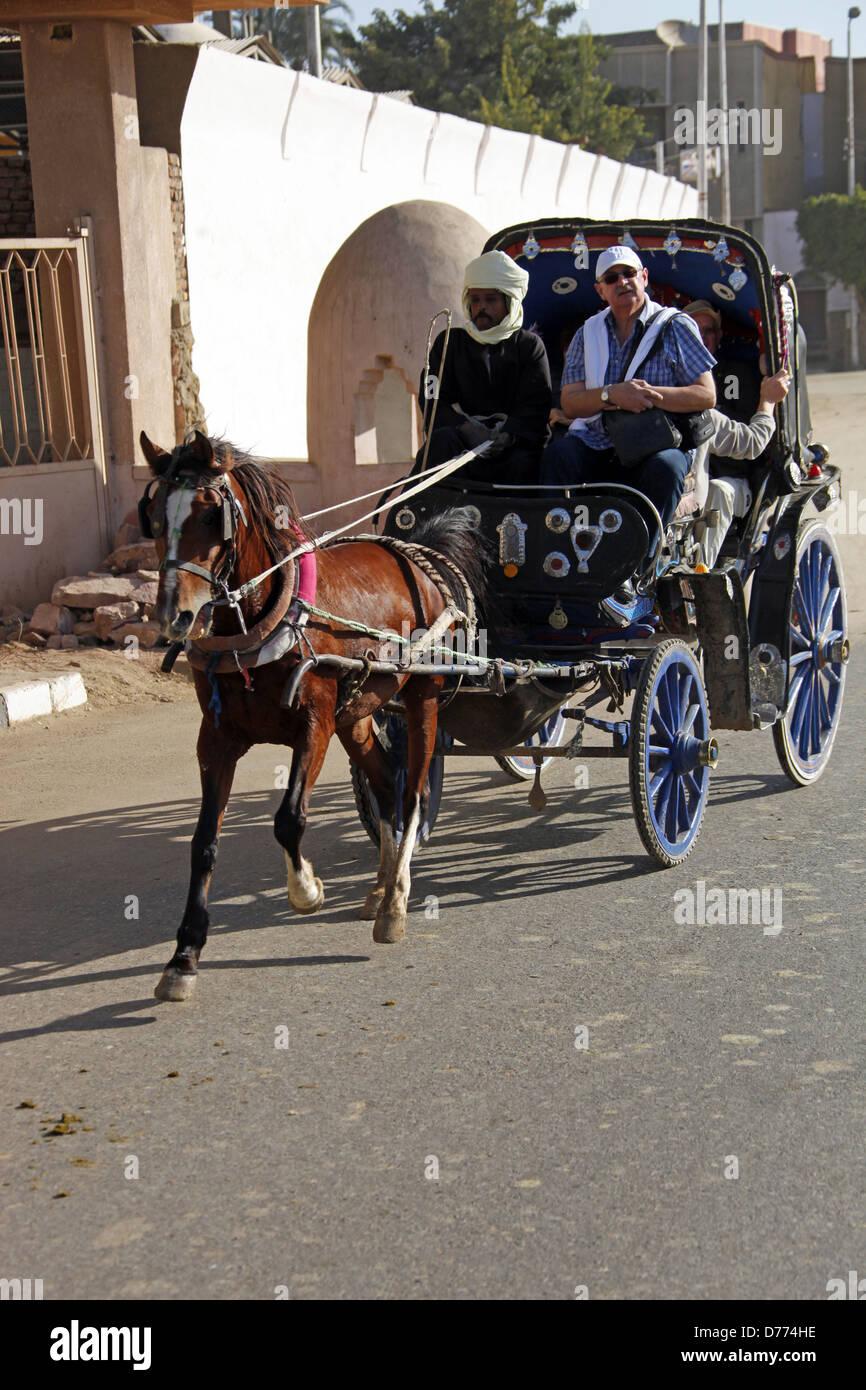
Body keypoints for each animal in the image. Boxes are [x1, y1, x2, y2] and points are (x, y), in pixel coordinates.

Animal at [139, 430, 483, 1000]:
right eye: (154, 516)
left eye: (211, 515)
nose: (175, 616)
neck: (259, 623)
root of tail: (417, 554)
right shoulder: (216, 739)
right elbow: (203, 843)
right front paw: (184, 955)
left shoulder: (313, 725)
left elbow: (288, 819)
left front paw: (307, 890)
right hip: (357, 716)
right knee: (386, 783)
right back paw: (379, 887)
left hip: (421, 699)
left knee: (413, 794)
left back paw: (395, 902)